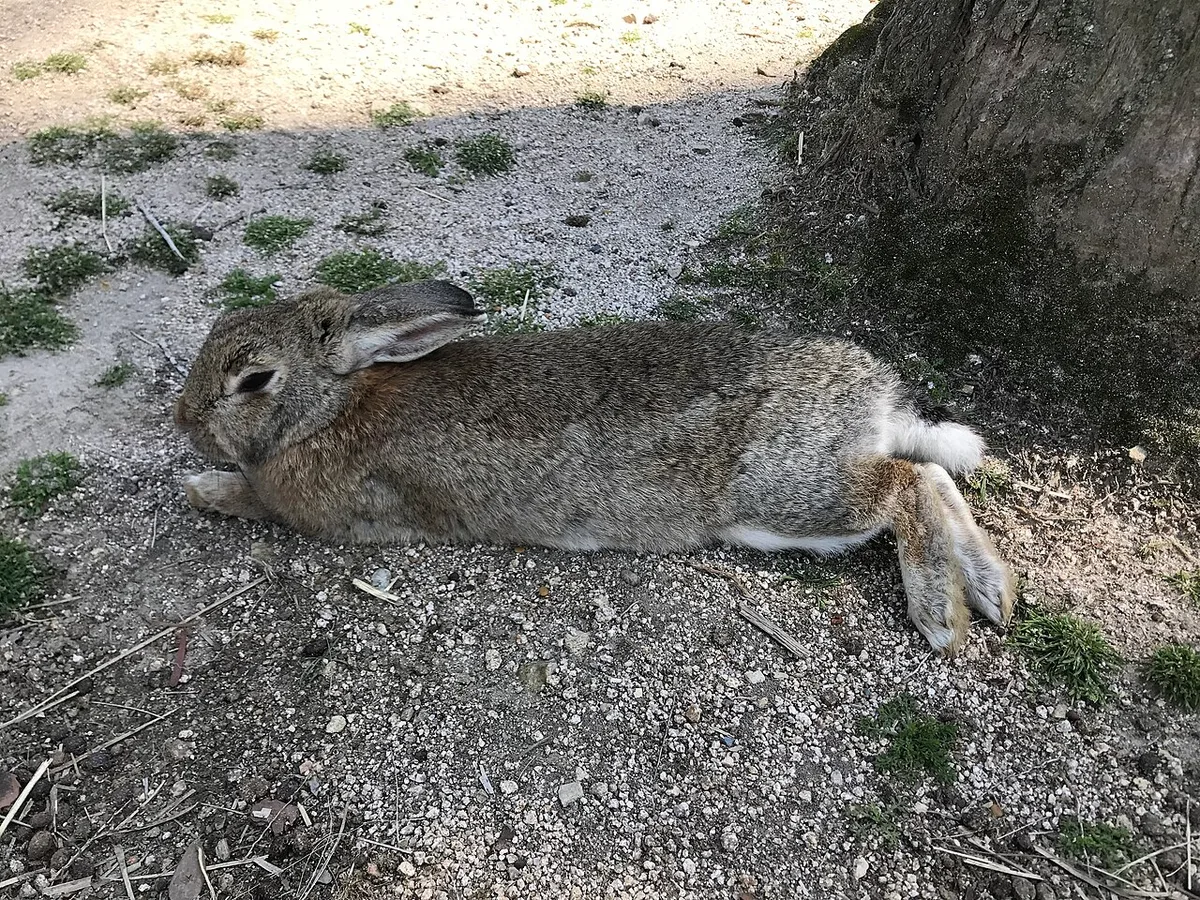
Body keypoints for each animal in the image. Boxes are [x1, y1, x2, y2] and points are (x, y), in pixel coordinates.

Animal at [175, 279, 1015, 654]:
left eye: (253, 380)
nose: (183, 422)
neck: (332, 406)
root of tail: (876, 399)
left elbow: (254, 499)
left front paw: (204, 488)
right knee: (938, 475)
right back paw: (992, 589)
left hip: (790, 494)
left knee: (908, 484)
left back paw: (942, 614)